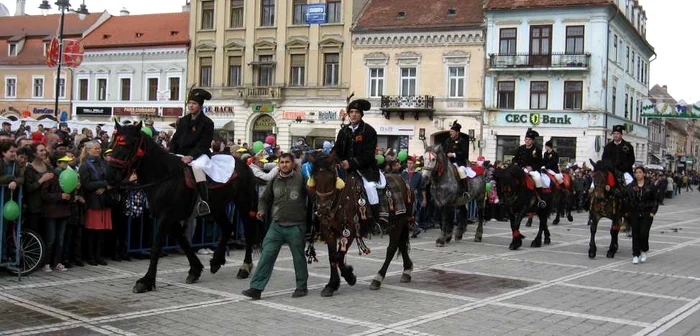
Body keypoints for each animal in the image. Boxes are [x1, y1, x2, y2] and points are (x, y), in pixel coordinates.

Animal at [102, 122, 258, 292]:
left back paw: (244, 267)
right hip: (217, 207)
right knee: (227, 227)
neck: (164, 176)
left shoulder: (166, 217)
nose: (109, 176)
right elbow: (182, 240)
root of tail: (245, 164)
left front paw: (146, 281)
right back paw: (217, 261)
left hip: (243, 203)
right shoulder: (170, 218)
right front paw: (195, 270)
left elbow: (157, 246)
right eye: (113, 143)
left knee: (249, 232)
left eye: (129, 144)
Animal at [308, 153, 412, 296]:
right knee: (401, 244)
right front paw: (332, 284)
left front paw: (350, 276)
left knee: (391, 248)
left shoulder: (350, 230)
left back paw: (378, 278)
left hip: (399, 223)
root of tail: (403, 181)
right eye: (315, 178)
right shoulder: (328, 231)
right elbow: (332, 257)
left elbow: (337, 256)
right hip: (397, 225)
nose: (323, 209)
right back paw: (407, 270)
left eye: (332, 178)